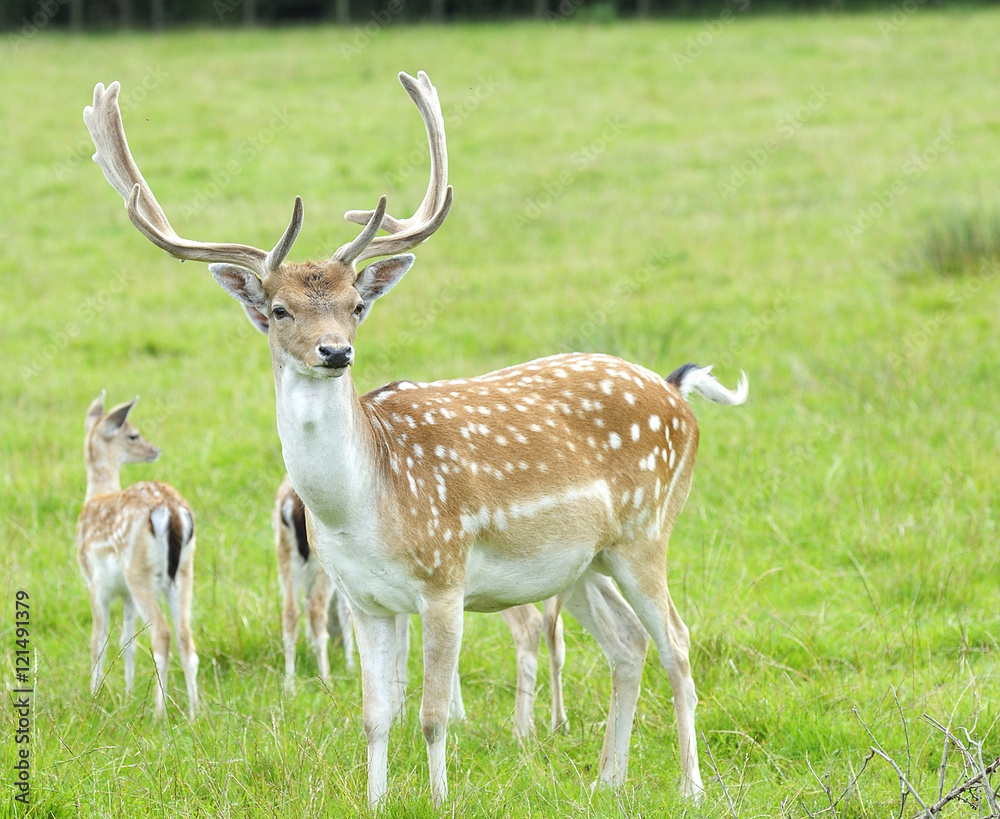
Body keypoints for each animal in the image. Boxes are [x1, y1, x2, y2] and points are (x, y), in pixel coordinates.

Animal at [76, 392, 199, 718]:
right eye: (132, 434)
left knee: (162, 635)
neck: (94, 496)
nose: (154, 450)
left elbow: (98, 639)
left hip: (139, 572)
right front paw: (129, 694)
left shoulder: (94, 582)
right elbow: (126, 640)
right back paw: (196, 712)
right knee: (186, 638)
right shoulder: (124, 593)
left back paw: (159, 713)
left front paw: (93, 695)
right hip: (184, 572)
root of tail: (172, 511)